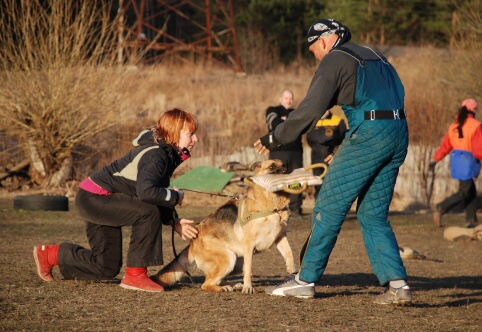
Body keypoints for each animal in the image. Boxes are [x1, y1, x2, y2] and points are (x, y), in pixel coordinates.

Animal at [153, 160, 296, 294]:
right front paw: (248, 288)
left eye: (284, 165)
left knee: (216, 280)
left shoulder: (280, 236)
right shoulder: (249, 244)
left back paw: (234, 285)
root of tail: (193, 242)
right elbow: (249, 270)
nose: (286, 170)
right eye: (272, 167)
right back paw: (225, 288)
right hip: (229, 259)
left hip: (236, 263)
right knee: (205, 284)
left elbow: (289, 252)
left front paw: (292, 270)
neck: (273, 207)